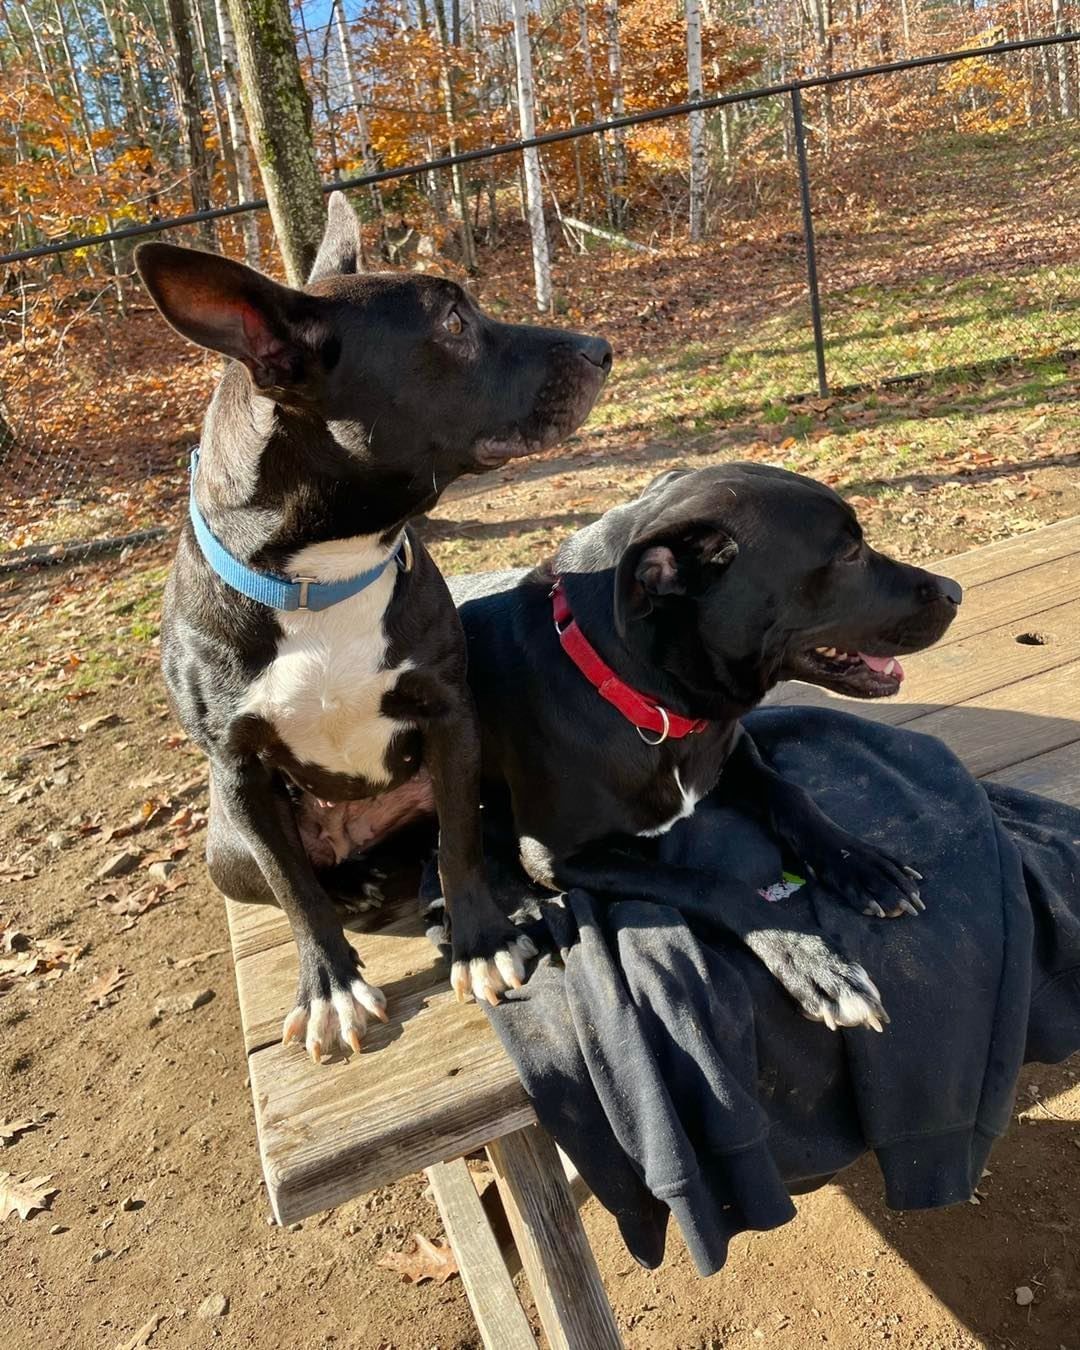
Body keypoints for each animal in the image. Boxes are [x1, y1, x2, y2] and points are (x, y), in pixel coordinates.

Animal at [133, 195, 607, 1058]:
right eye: (453, 321)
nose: (600, 348)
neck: (323, 579)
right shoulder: (239, 773)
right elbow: (296, 894)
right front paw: (330, 987)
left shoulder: (450, 717)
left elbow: (456, 847)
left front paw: (481, 942)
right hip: (225, 847)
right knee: (304, 878)